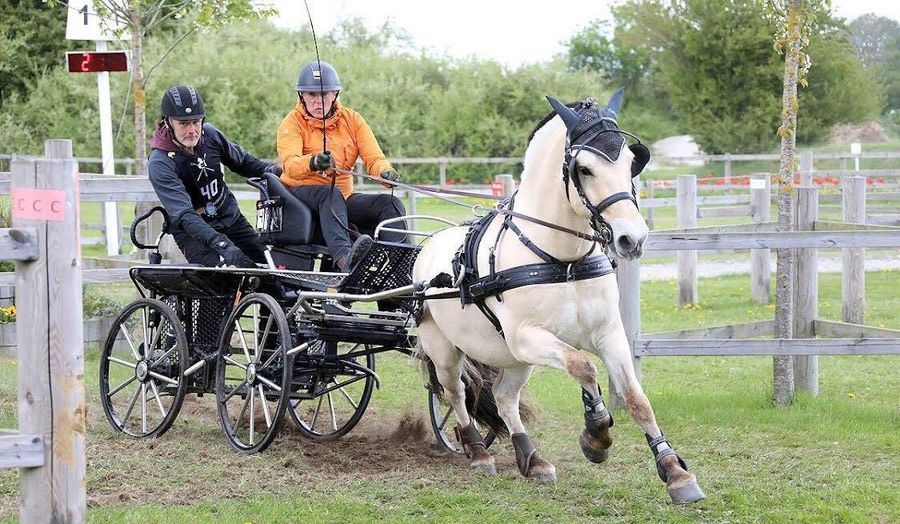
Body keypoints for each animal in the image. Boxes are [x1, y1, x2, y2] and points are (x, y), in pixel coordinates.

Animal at [412, 89, 705, 504]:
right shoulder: (528, 337)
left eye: (630, 163)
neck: (562, 259)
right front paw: (597, 434)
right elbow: (584, 367)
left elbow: (636, 398)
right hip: (447, 349)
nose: (631, 239)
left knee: (504, 397)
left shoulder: (607, 334)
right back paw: (479, 453)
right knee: (456, 393)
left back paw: (533, 459)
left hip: (512, 358)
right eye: (584, 169)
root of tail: (429, 244)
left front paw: (674, 470)